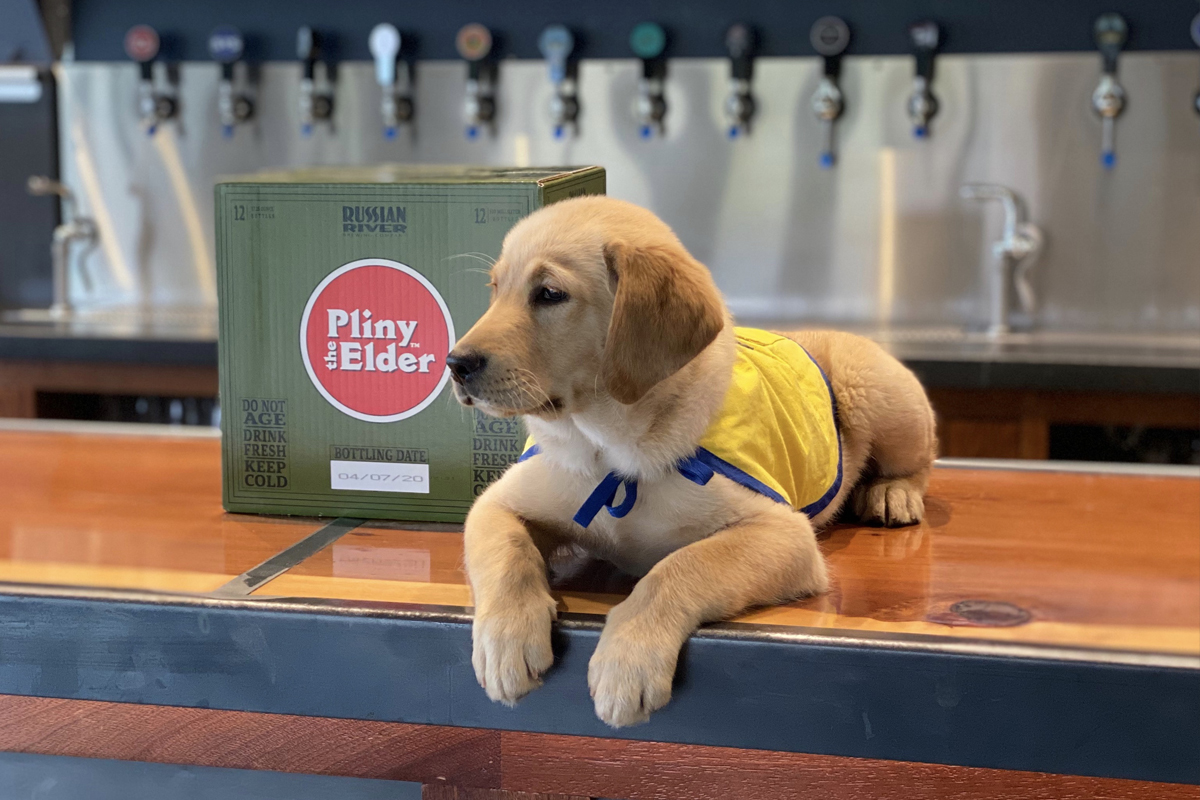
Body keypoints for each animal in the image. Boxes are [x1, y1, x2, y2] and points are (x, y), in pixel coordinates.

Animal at [448, 196, 936, 729]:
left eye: (550, 294)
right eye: (496, 290)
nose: (455, 363)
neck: (610, 451)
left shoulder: (784, 534)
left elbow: (681, 566)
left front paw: (628, 660)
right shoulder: (498, 503)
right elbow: (507, 555)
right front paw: (505, 642)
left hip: (871, 386)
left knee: (921, 460)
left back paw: (892, 493)